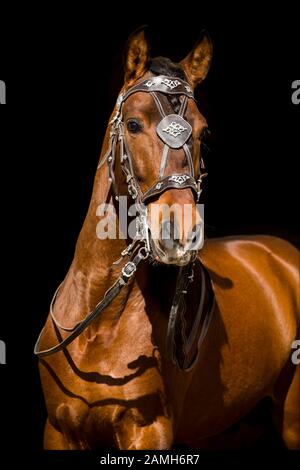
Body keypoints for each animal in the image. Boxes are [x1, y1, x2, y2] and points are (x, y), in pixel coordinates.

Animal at [35, 26, 300, 452]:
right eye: (133, 125)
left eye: (204, 133)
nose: (179, 230)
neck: (98, 325)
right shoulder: (59, 431)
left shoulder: (149, 430)